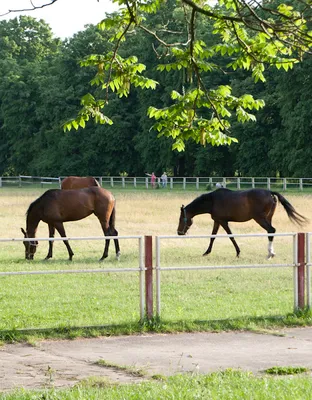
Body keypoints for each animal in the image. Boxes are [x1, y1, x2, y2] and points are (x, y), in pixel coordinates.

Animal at [177, 188, 308, 260]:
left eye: (181, 219)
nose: (179, 232)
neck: (212, 201)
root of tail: (269, 192)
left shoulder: (223, 222)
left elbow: (231, 237)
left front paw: (238, 252)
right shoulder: (217, 221)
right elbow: (212, 237)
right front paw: (207, 252)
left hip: (260, 219)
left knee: (271, 230)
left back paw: (270, 254)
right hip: (267, 218)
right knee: (270, 232)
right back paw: (271, 253)